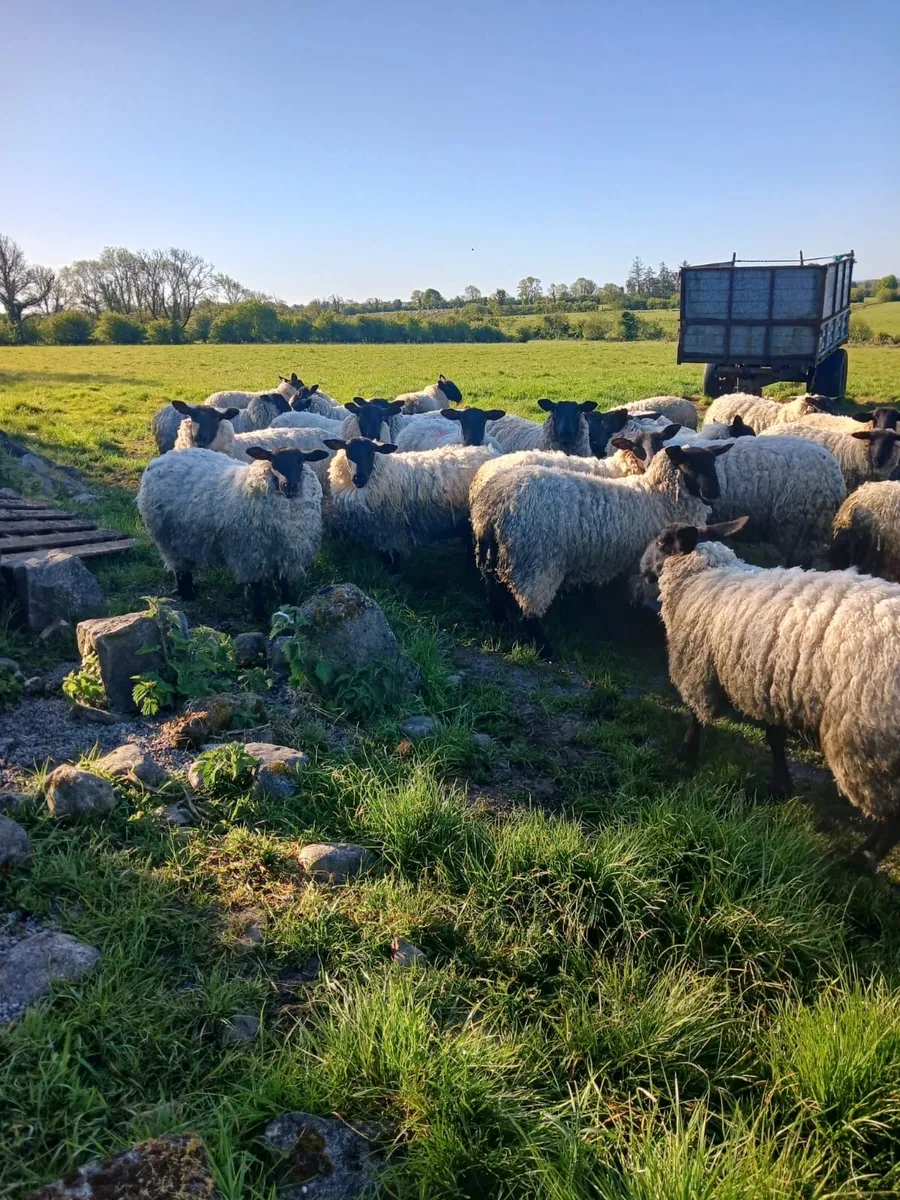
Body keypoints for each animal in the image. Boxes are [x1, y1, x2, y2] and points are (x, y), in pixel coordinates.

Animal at [137, 445, 328, 619]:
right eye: (273, 462)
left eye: (300, 461)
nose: (289, 486)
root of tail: (163, 458)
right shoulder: (249, 556)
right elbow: (256, 586)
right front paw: (259, 616)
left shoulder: (286, 555)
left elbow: (284, 584)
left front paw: (288, 607)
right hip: (167, 540)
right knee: (180, 568)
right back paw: (188, 594)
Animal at [325, 437, 497, 564]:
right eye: (348, 452)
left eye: (371, 452)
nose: (358, 478)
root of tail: (489, 451)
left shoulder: (391, 531)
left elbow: (392, 560)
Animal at [470, 442, 729, 651]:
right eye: (689, 463)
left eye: (713, 462)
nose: (714, 492)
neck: (658, 497)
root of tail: (494, 503)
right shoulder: (644, 567)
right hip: (536, 559)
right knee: (529, 610)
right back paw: (546, 650)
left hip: (493, 552)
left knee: (492, 589)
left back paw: (501, 624)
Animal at [638, 519, 900, 862]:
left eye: (661, 540)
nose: (641, 568)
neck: (705, 576)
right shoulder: (766, 684)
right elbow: (774, 737)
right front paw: (781, 786)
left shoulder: (700, 668)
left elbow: (696, 715)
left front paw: (686, 754)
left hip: (867, 740)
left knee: (891, 816)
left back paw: (862, 857)